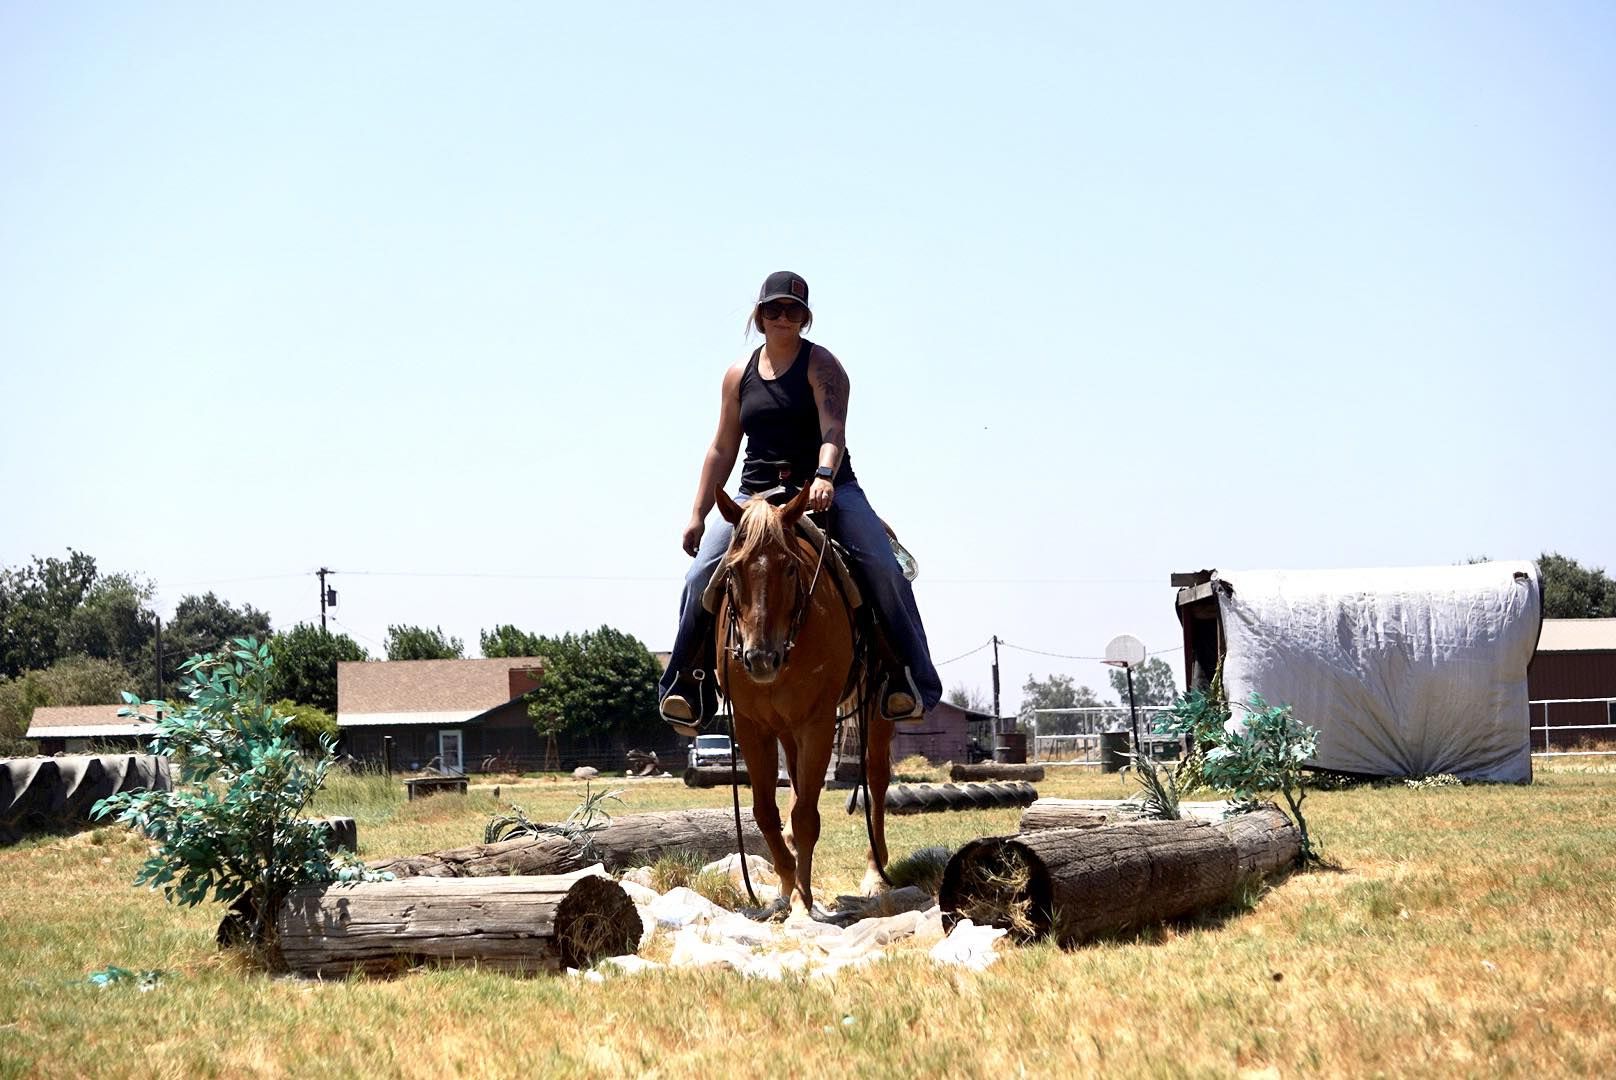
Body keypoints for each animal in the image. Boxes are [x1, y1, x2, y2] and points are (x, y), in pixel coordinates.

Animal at [712, 482, 896, 915]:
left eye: (790, 567)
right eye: (732, 570)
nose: (761, 658)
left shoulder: (817, 721)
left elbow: (806, 815)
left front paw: (802, 896)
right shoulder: (751, 725)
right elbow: (766, 811)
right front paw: (785, 883)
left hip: (876, 708)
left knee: (876, 778)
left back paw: (875, 873)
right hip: (785, 727)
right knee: (796, 783)